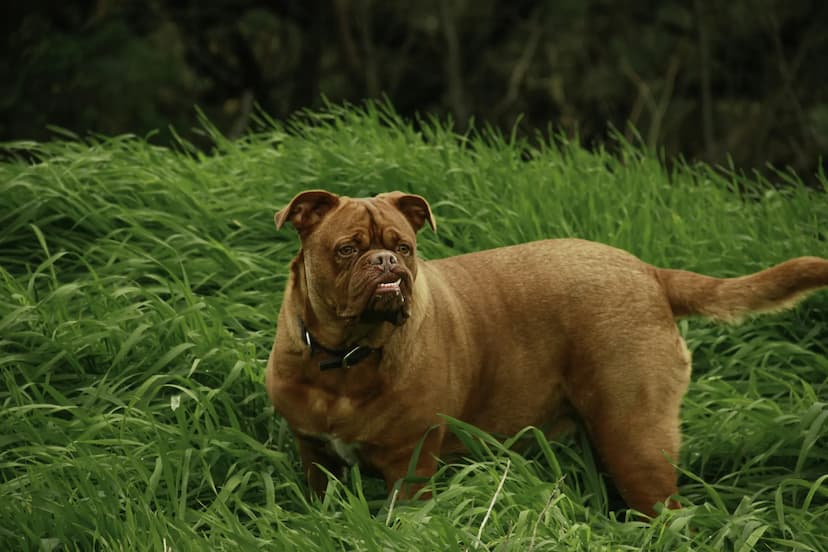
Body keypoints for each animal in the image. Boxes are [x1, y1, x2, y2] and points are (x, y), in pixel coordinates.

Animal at [266, 190, 828, 516]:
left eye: (404, 246)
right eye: (346, 249)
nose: (386, 262)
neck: (344, 359)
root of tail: (650, 273)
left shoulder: (410, 466)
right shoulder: (314, 457)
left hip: (635, 437)